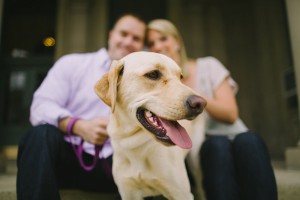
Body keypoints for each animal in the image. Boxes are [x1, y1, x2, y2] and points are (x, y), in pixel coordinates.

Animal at [94, 52, 206, 200]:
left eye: (180, 77)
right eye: (153, 74)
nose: (200, 104)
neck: (134, 145)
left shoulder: (180, 193)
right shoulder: (128, 192)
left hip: (195, 160)